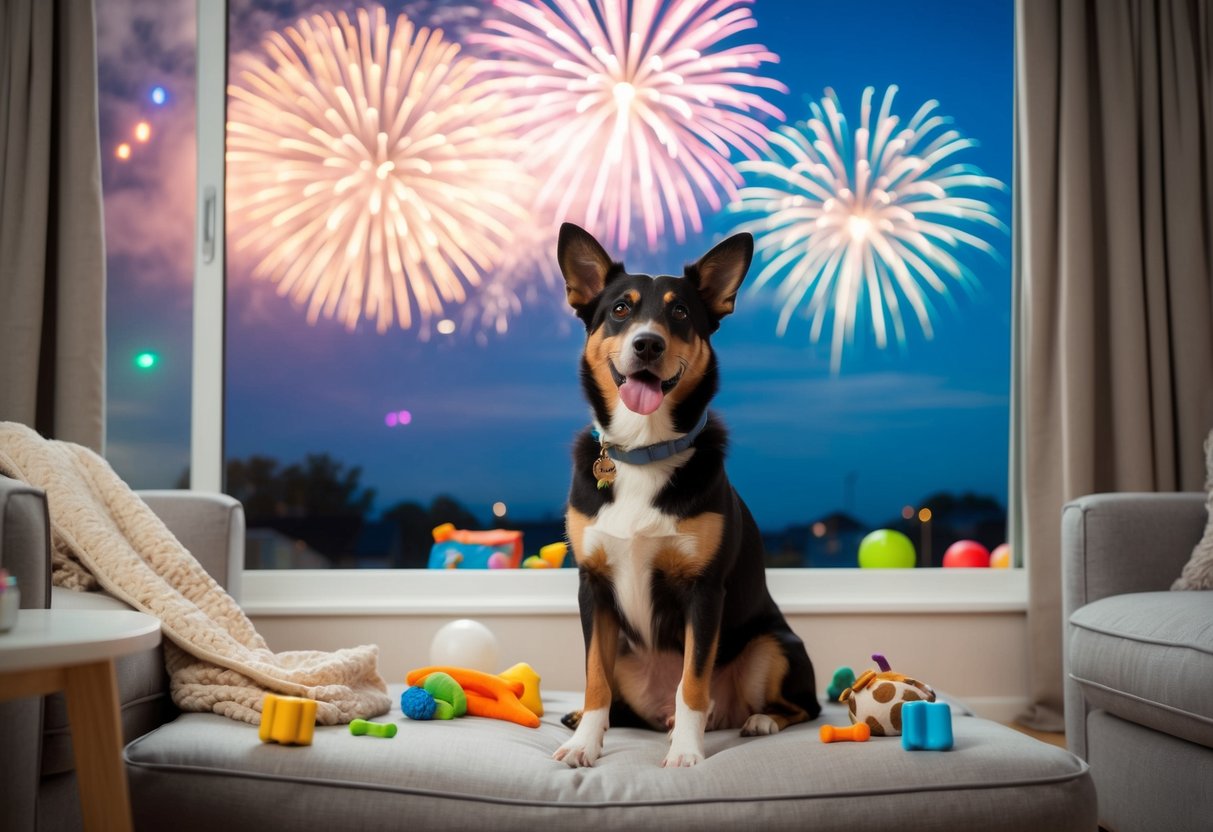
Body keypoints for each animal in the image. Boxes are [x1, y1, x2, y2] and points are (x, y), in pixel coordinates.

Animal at [553, 224, 819, 771]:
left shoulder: (704, 591)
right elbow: (595, 682)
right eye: (620, 309)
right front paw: (585, 744)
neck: (643, 450)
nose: (648, 344)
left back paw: (755, 721)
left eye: (679, 313)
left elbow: (693, 683)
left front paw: (687, 755)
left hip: (773, 644)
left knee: (800, 705)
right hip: (627, 651)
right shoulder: (593, 587)